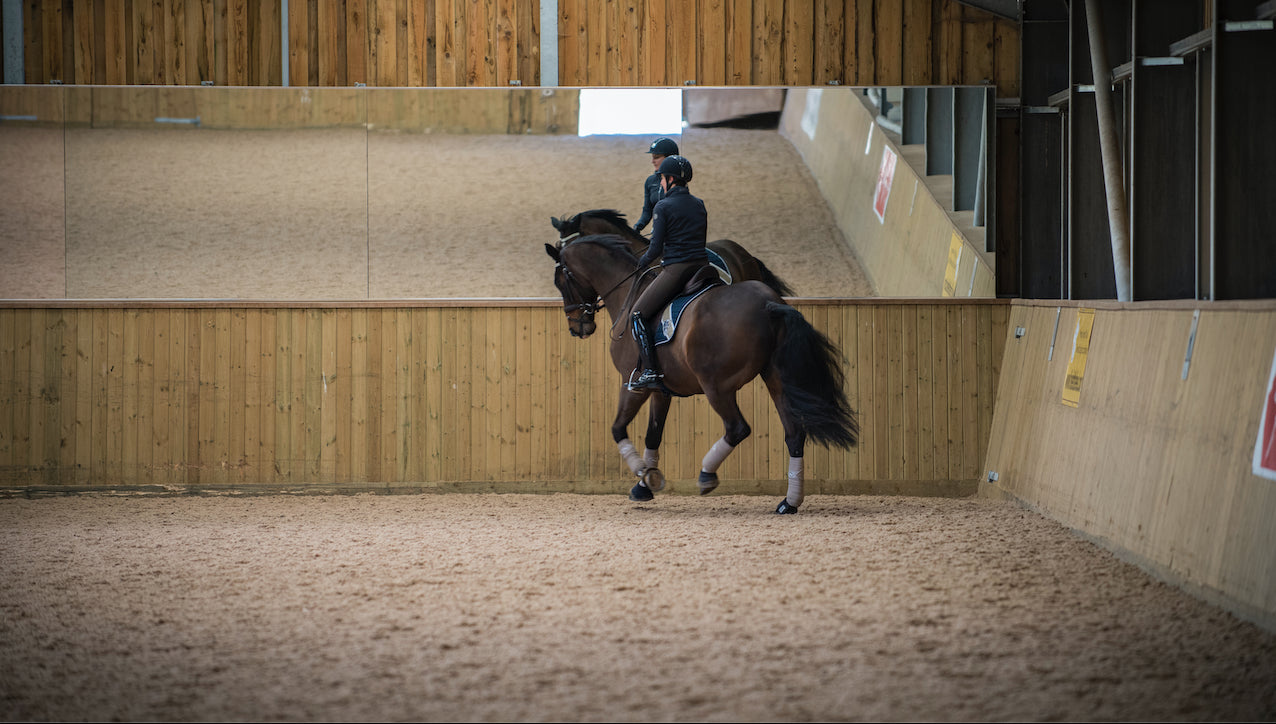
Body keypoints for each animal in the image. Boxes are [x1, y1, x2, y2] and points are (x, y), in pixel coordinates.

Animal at [545, 233, 857, 513]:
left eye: (560, 281)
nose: (577, 326)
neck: (627, 293)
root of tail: (769, 304)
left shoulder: (632, 385)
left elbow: (618, 428)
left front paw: (643, 474)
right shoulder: (660, 390)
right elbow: (653, 435)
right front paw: (645, 485)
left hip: (716, 386)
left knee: (738, 428)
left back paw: (707, 475)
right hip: (776, 379)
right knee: (794, 434)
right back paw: (789, 502)